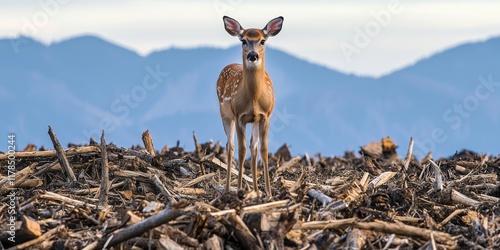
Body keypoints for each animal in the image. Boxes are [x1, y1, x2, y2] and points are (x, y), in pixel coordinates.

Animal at [217, 16, 284, 197]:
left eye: (262, 40)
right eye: (243, 40)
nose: (252, 55)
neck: (253, 100)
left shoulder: (265, 116)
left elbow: (263, 149)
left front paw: (268, 192)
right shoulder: (239, 115)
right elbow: (241, 151)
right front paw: (240, 188)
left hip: (253, 120)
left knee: (253, 146)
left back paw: (255, 189)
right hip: (225, 114)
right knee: (230, 146)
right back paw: (228, 188)